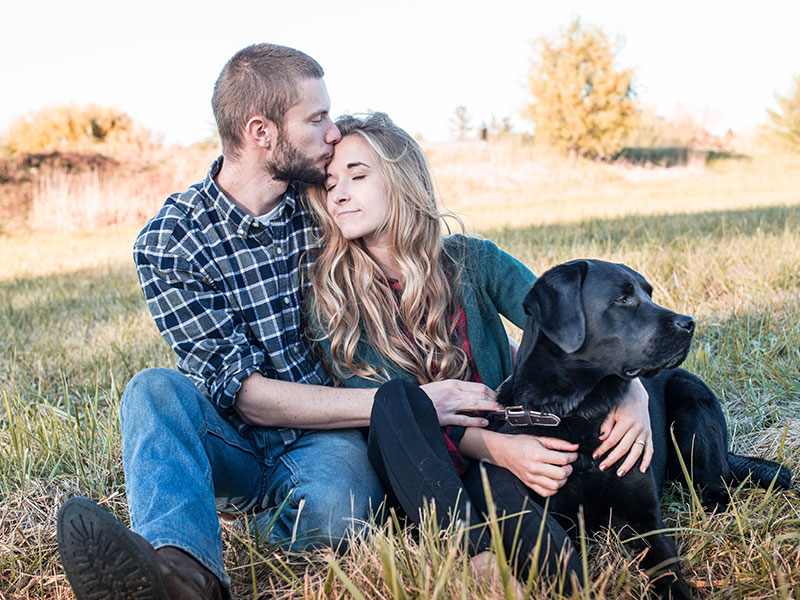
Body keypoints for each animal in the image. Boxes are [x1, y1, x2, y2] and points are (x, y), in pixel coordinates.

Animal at [490, 260, 792, 600]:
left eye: (649, 294)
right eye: (622, 299)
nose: (690, 323)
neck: (579, 412)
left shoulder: (645, 519)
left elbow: (669, 575)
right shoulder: (557, 520)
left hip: (692, 406)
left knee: (719, 483)